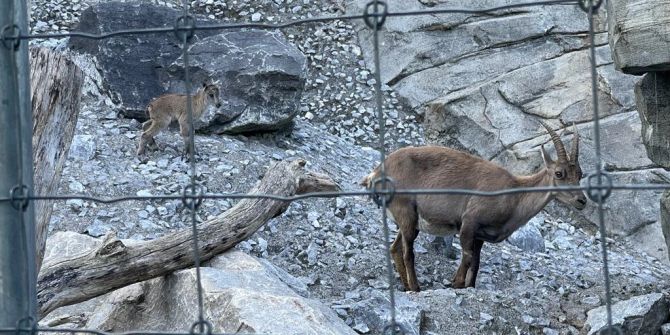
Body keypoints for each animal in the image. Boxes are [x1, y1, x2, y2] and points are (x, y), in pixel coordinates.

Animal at [362, 123, 588, 292]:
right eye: (559, 173)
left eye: (580, 174)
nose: (582, 201)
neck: (514, 196)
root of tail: (376, 173)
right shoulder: (469, 222)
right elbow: (467, 256)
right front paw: (457, 283)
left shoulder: (481, 235)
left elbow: (477, 262)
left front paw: (468, 285)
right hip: (406, 212)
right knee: (408, 252)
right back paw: (416, 287)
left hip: (409, 219)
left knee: (395, 248)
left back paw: (407, 285)